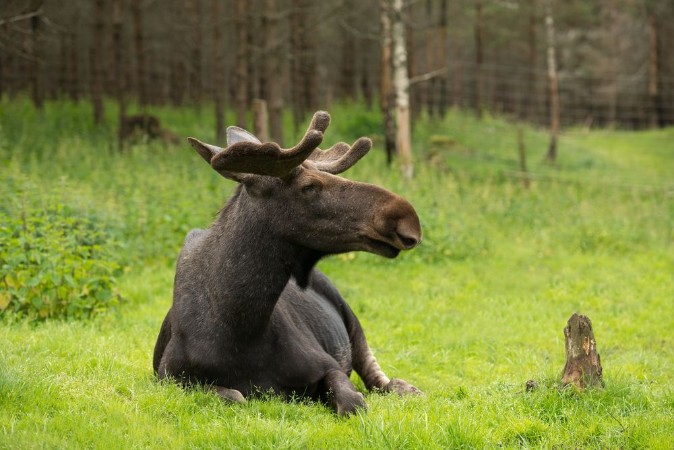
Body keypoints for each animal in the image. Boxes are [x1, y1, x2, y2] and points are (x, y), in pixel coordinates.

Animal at [152, 111, 422, 415]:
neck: (241, 324)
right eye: (310, 187)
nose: (406, 216)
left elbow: (353, 403)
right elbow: (235, 395)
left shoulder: (328, 364)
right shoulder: (172, 379)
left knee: (377, 377)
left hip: (349, 316)